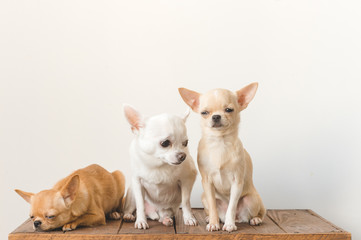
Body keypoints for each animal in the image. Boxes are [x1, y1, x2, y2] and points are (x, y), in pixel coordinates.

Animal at [179, 83, 266, 232]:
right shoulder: (207, 183)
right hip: (204, 197)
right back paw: (210, 218)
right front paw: (214, 223)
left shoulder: (237, 183)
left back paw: (254, 219)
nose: (216, 116)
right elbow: (213, 205)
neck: (219, 142)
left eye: (229, 110)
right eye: (204, 113)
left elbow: (231, 206)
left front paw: (229, 224)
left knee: (258, 212)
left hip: (252, 200)